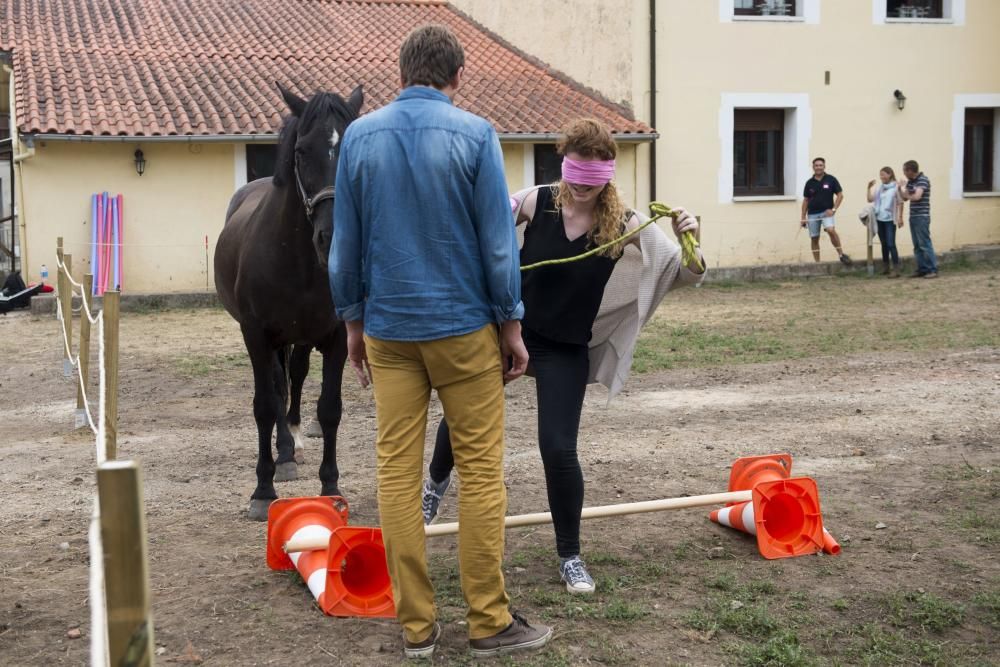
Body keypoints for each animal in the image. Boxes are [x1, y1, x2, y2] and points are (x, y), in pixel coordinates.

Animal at [217, 83, 366, 520]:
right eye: (301, 151)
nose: (332, 237)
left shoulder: (336, 336)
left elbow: (329, 408)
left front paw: (331, 486)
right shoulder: (256, 334)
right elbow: (266, 405)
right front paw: (262, 490)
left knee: (294, 379)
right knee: (278, 386)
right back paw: (283, 454)